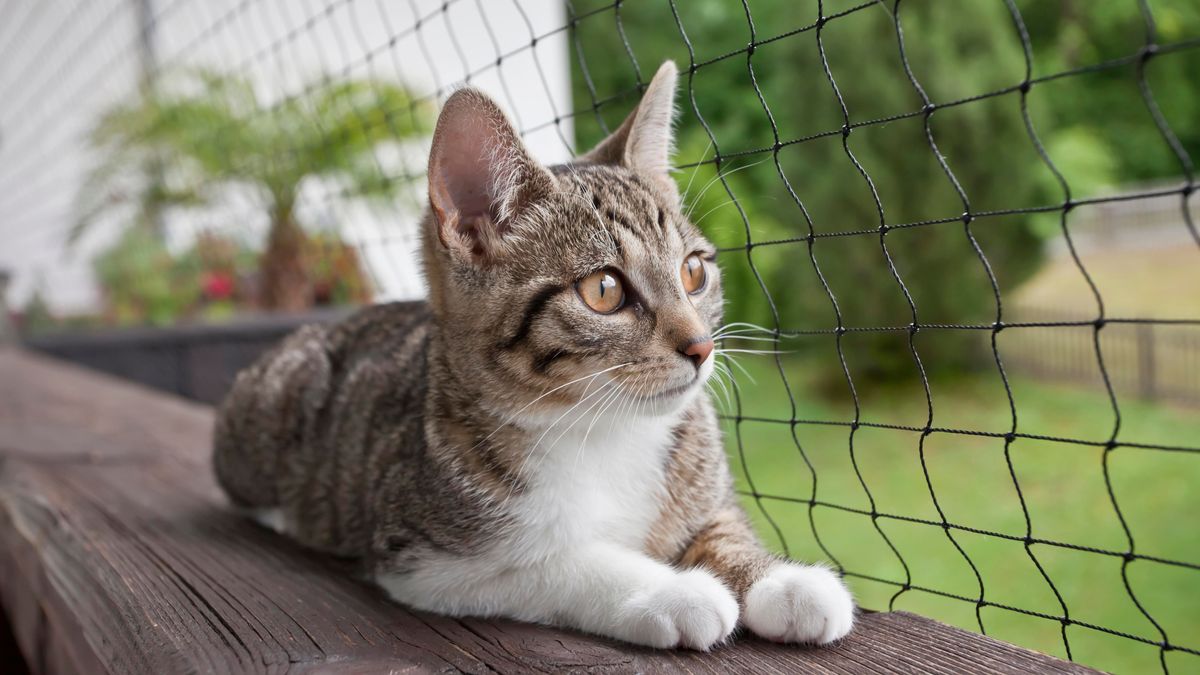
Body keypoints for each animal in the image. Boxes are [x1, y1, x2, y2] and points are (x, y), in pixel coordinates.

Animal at [216, 61, 854, 648]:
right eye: (604, 290)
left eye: (693, 271)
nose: (701, 346)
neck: (606, 430)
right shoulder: (422, 554)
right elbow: (548, 563)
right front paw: (675, 591)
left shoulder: (703, 483)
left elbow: (724, 527)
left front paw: (783, 582)